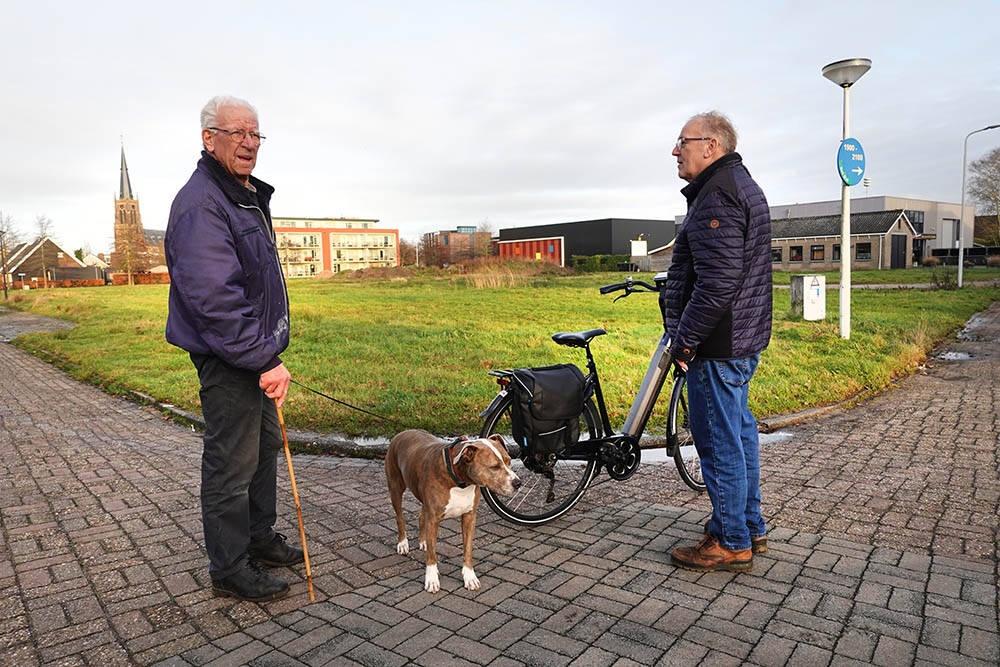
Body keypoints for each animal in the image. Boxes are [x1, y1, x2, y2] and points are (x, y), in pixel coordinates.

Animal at [384, 430, 520, 592]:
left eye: (509, 461)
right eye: (494, 467)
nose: (518, 483)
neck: (459, 481)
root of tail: (402, 433)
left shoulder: (469, 516)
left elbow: (467, 549)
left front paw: (470, 577)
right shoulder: (433, 518)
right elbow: (432, 554)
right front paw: (431, 579)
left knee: (421, 516)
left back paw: (423, 541)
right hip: (395, 488)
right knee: (400, 517)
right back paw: (403, 543)